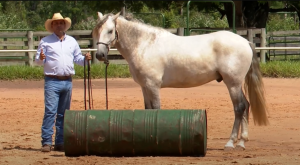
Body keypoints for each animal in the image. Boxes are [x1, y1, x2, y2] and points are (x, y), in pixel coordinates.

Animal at [92, 11, 270, 151]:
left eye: (110, 31)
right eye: (96, 31)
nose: (100, 55)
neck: (144, 45)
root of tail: (245, 41)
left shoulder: (153, 86)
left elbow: (156, 110)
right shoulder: (144, 87)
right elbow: (148, 110)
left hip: (232, 83)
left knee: (239, 108)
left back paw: (231, 143)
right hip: (236, 84)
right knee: (246, 105)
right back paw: (241, 142)